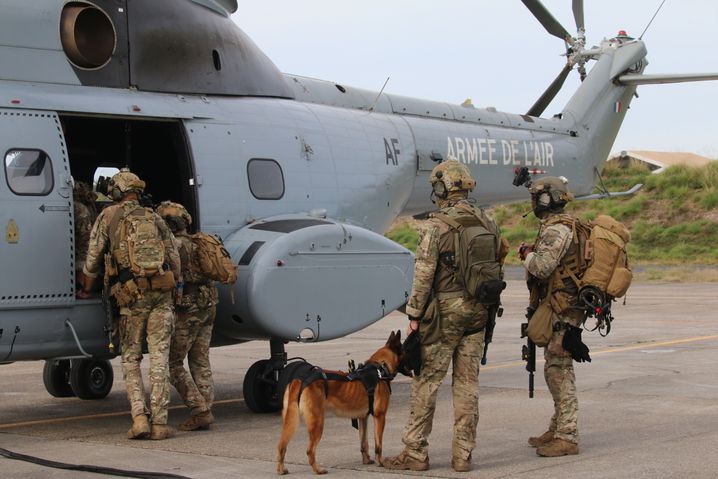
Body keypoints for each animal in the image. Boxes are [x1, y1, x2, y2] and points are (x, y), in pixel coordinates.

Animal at [278, 330, 408, 476]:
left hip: (290, 420)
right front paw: (380, 462)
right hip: (317, 423)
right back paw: (317, 470)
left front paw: (366, 460)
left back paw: (281, 469)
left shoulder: (363, 418)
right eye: (405, 352)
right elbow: (378, 445)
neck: (380, 369)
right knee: (309, 450)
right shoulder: (380, 417)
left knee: (282, 445)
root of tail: (300, 379)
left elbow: (364, 443)